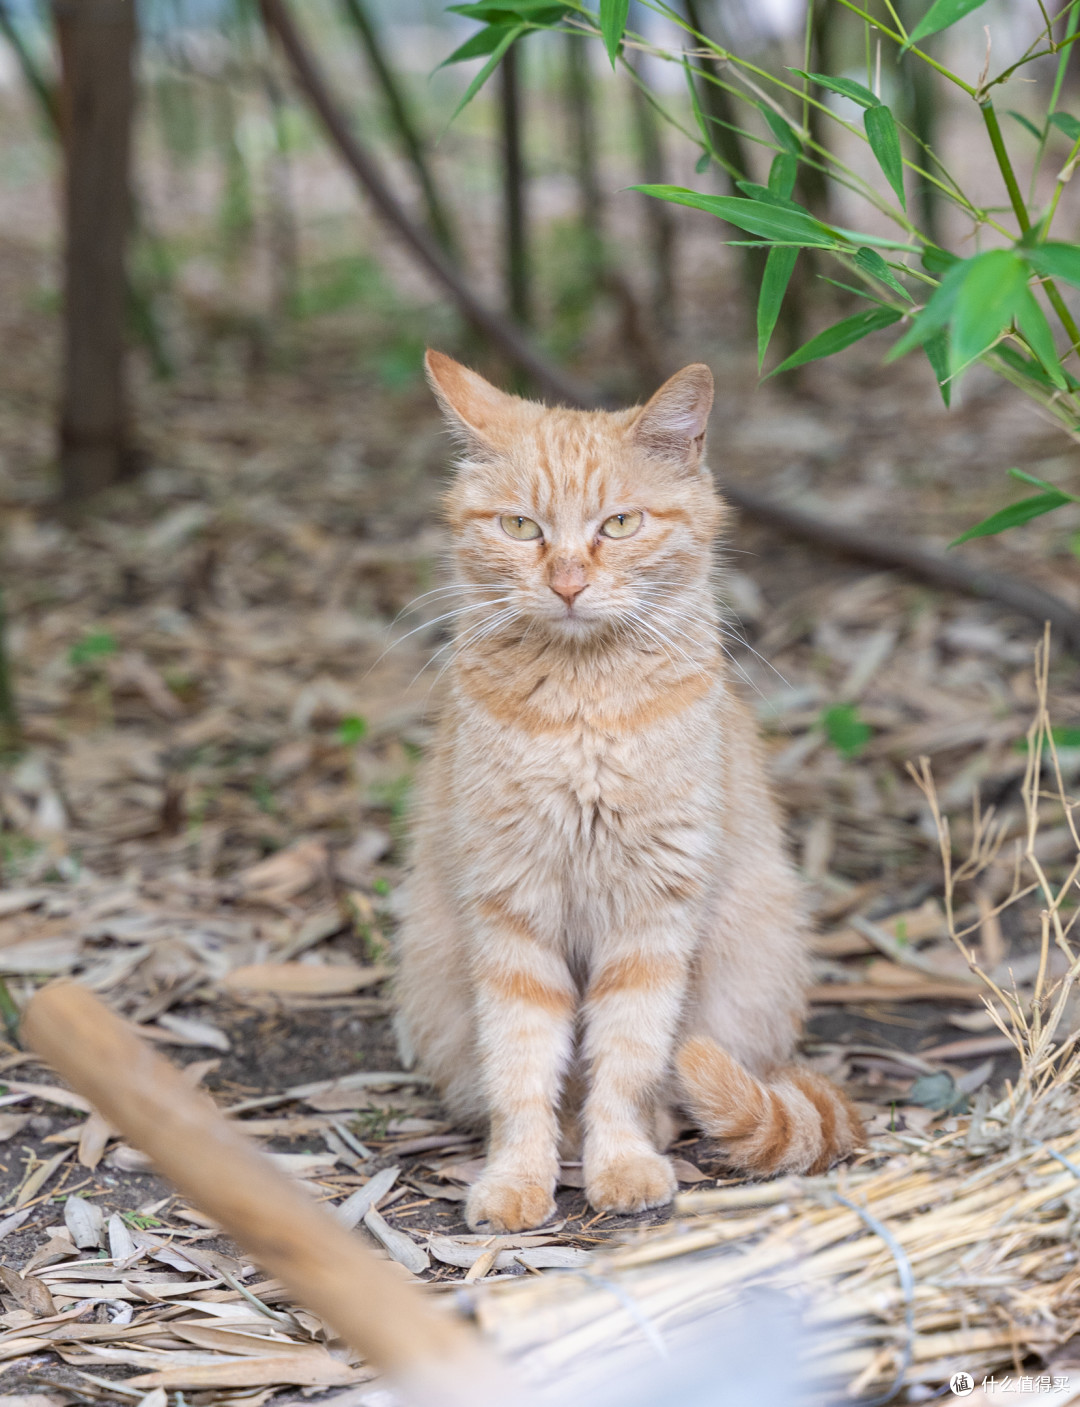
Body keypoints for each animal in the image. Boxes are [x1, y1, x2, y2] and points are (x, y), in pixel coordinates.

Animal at [393, 348, 860, 1232]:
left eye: (619, 524)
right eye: (521, 527)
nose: (570, 580)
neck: (584, 709)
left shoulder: (652, 914)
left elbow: (629, 1059)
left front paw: (622, 1163)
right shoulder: (512, 909)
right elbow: (522, 1066)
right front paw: (519, 1176)